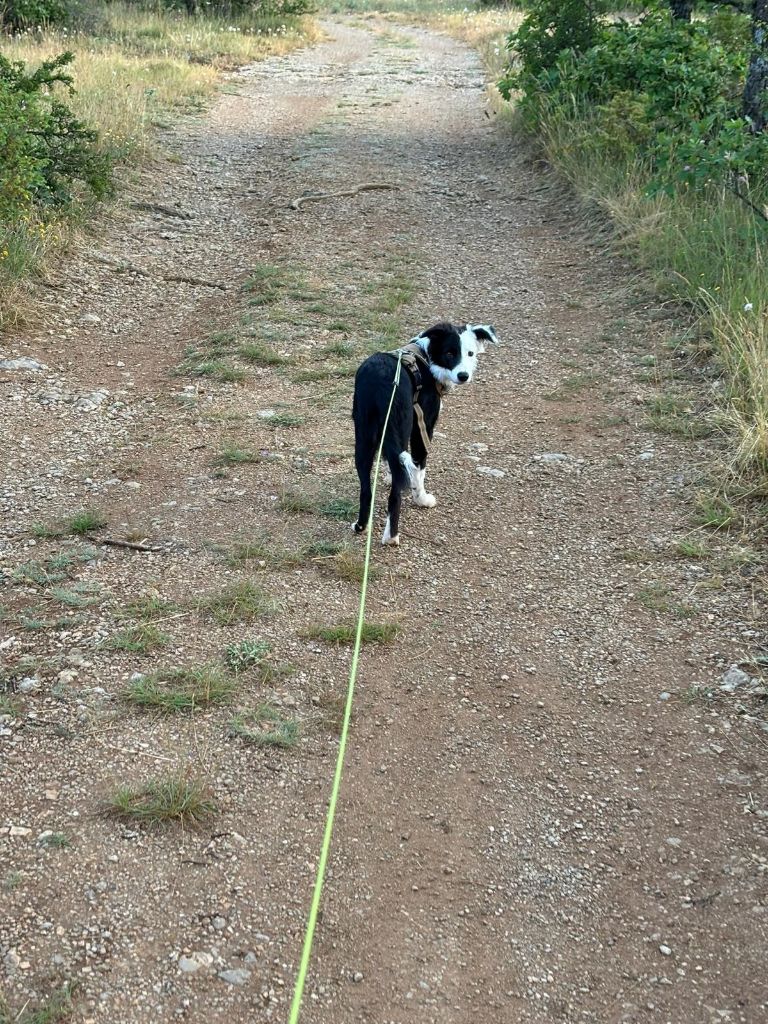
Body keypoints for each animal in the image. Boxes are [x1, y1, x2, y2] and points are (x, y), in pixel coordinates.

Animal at [354, 323, 499, 548]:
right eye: (450, 353)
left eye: (470, 353)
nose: (463, 376)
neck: (425, 358)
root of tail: (380, 384)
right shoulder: (423, 427)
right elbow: (419, 468)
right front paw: (421, 498)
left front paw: (387, 476)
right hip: (400, 429)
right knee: (395, 493)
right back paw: (391, 536)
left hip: (363, 437)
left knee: (366, 490)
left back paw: (361, 525)